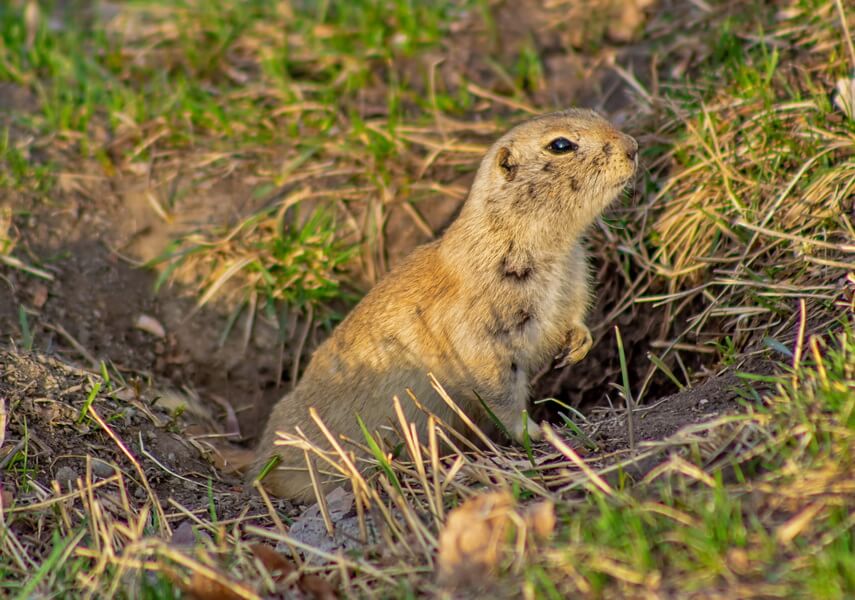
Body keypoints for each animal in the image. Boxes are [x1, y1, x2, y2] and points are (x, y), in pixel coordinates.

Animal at [252, 108, 636, 502]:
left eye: (594, 113)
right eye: (560, 145)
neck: (548, 248)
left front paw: (578, 345)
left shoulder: (572, 282)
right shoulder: (481, 336)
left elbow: (573, 318)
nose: (633, 146)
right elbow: (498, 390)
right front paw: (538, 431)